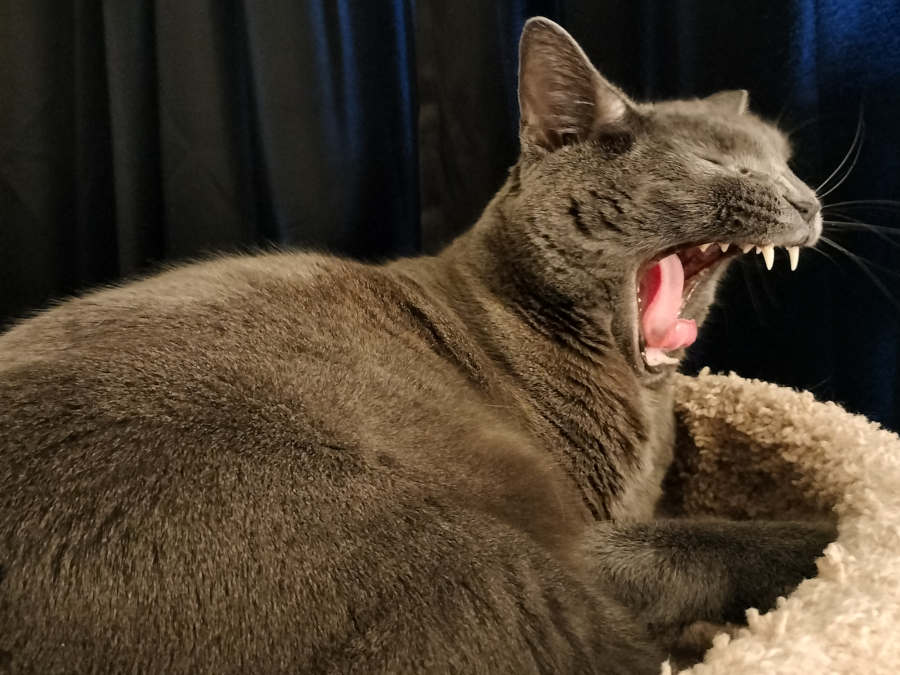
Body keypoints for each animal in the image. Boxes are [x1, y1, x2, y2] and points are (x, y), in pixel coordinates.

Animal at [0, 17, 835, 675]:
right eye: (718, 163)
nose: (807, 201)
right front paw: (838, 536)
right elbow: (700, 539)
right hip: (460, 553)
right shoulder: (583, 537)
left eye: (787, 160)